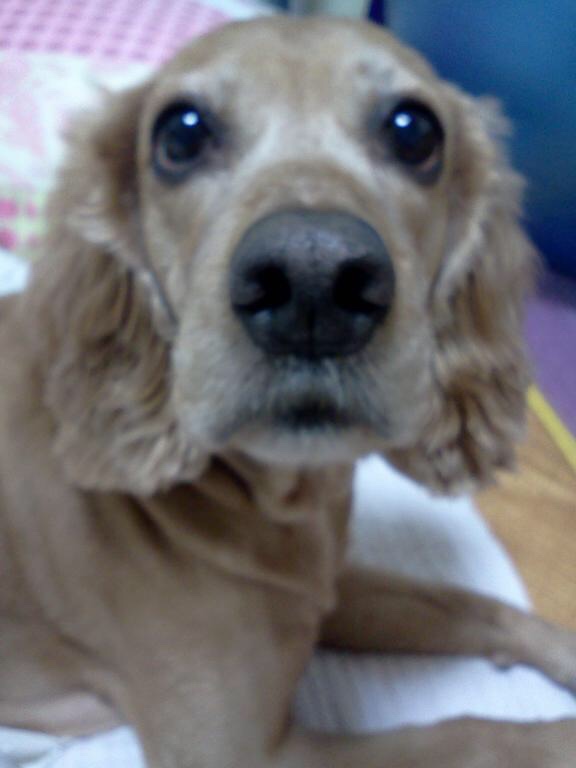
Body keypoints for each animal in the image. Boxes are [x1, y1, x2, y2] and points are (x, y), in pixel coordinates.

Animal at [0, 16, 575, 767]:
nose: (312, 282)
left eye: (414, 132)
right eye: (180, 134)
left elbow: (477, 605)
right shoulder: (239, 750)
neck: (282, 502)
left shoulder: (325, 590)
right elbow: (473, 733)